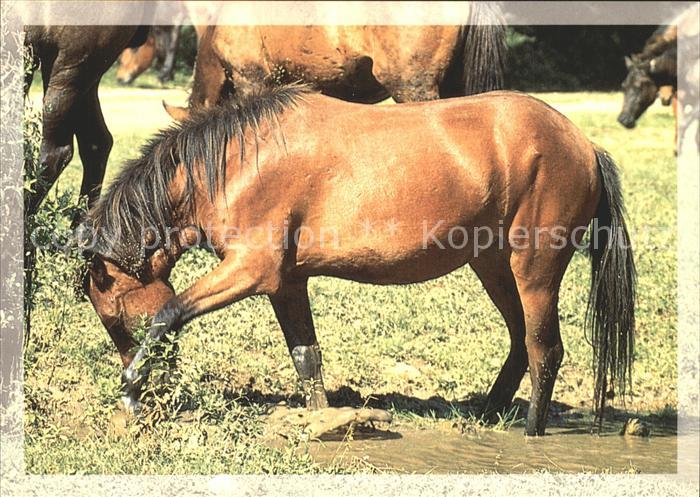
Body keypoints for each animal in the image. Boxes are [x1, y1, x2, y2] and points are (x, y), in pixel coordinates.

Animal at [80, 86, 636, 437]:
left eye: (111, 310)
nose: (134, 367)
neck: (236, 161)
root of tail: (585, 144)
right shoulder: (285, 284)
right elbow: (306, 358)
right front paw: (322, 420)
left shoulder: (249, 272)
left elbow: (167, 313)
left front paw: (130, 393)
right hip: (493, 267)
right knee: (521, 344)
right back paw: (486, 416)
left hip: (534, 271)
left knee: (545, 351)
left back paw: (529, 434)